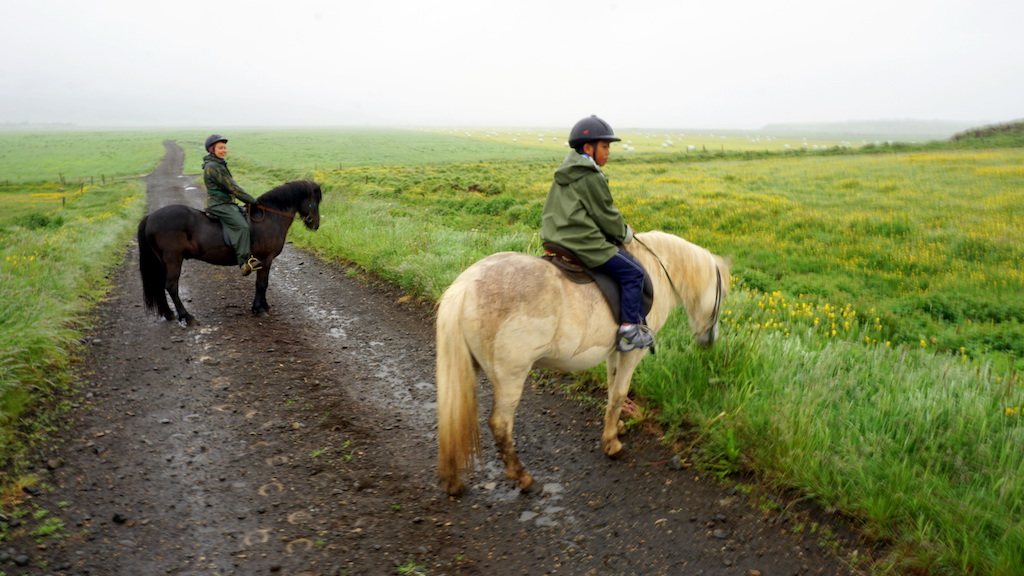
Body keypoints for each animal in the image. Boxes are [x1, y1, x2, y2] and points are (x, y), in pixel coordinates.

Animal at [136, 179, 319, 323]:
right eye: (315, 202)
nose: (315, 225)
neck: (270, 217)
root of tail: (150, 217)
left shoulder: (266, 261)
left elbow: (264, 283)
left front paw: (264, 305)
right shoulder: (265, 259)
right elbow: (262, 284)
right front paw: (259, 308)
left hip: (162, 262)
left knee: (160, 285)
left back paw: (169, 314)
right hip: (173, 260)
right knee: (171, 286)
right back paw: (186, 316)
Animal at [434, 228, 729, 494]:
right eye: (722, 295)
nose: (710, 340)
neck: (657, 267)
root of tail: (466, 286)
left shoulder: (614, 352)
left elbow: (612, 392)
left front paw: (616, 428)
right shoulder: (632, 353)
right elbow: (620, 393)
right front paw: (611, 444)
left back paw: (453, 480)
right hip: (511, 376)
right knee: (500, 424)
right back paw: (524, 478)